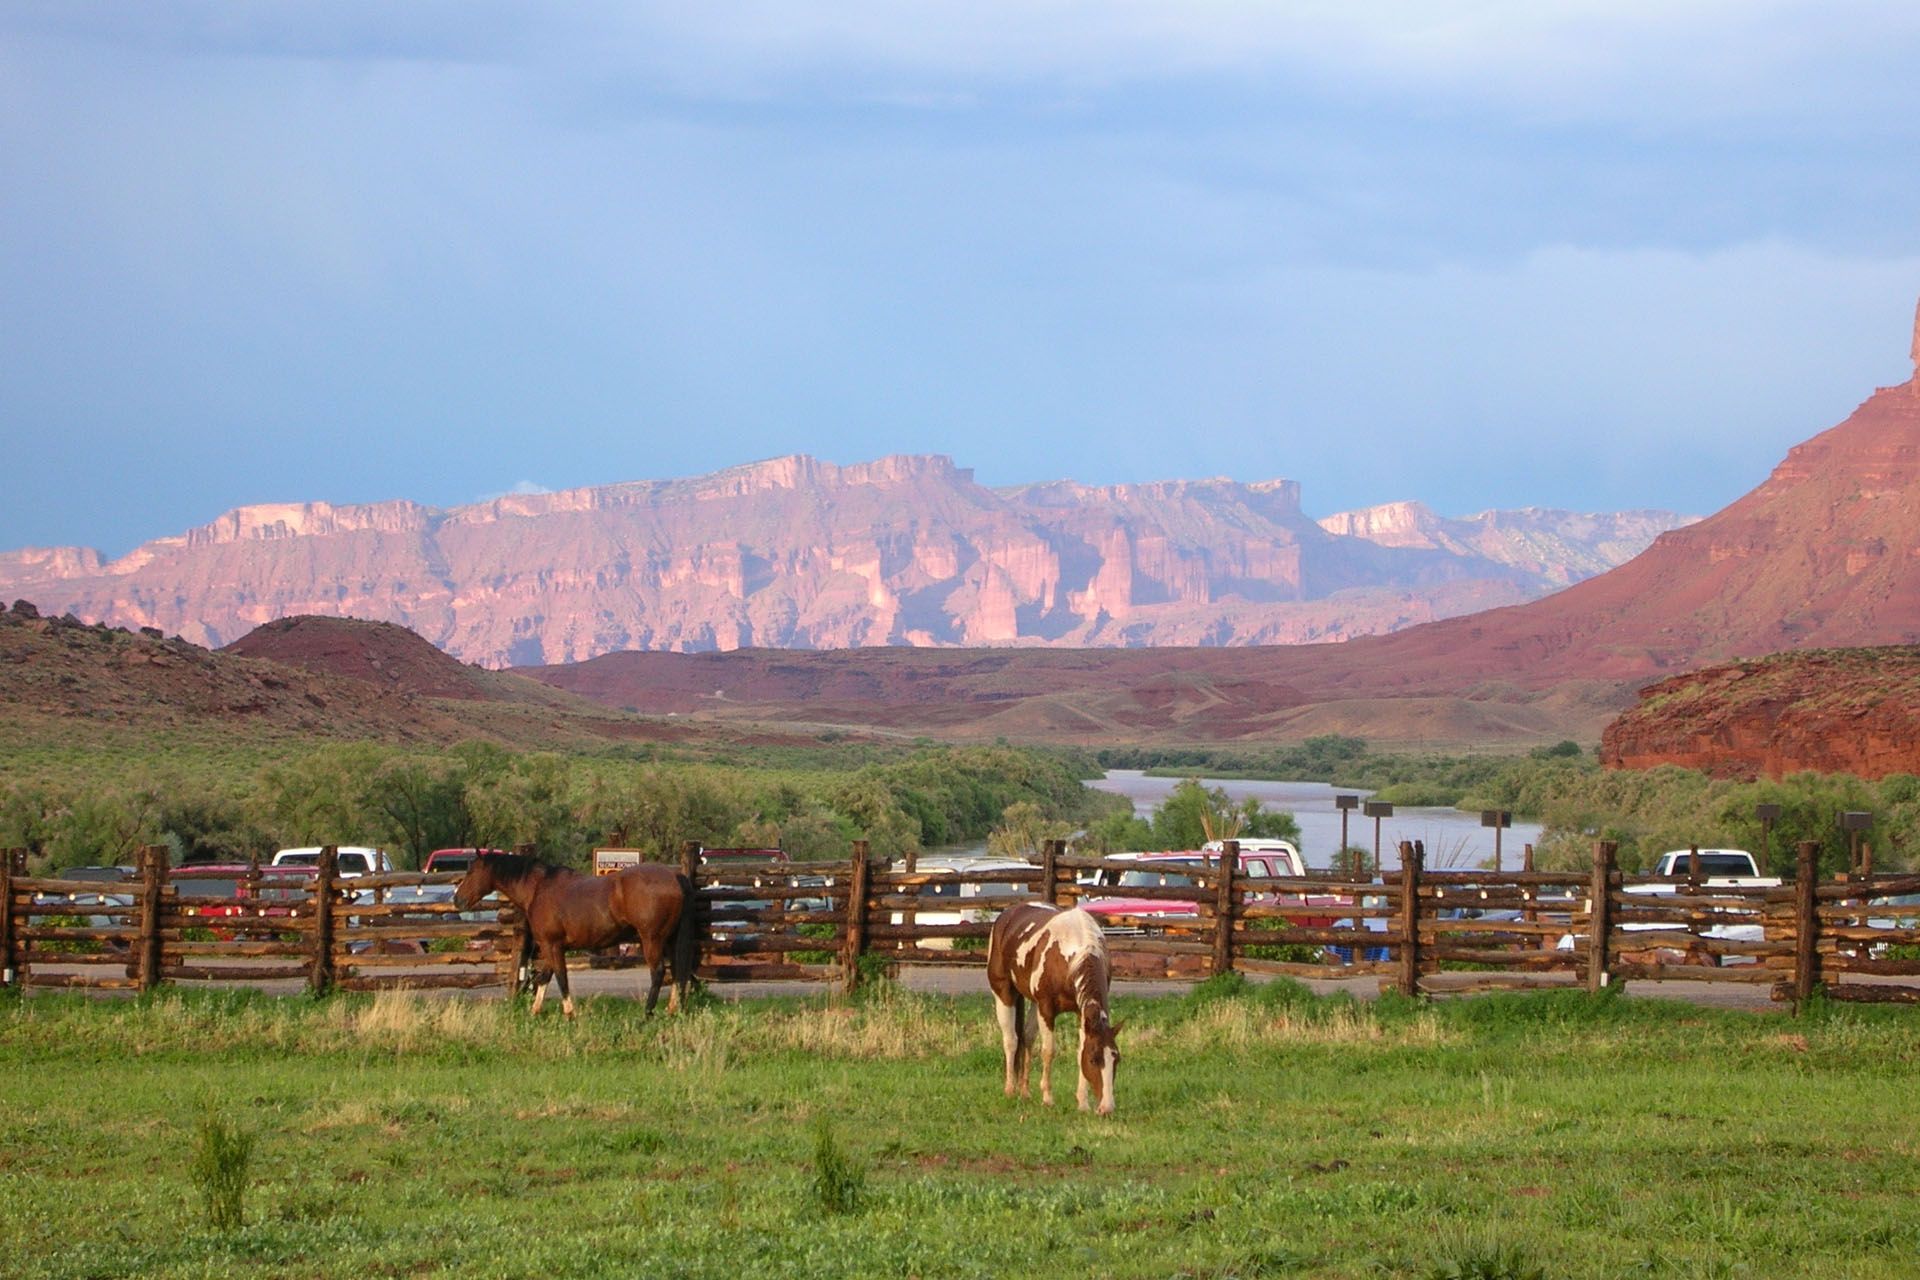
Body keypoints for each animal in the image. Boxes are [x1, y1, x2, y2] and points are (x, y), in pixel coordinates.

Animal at [452, 853, 692, 1018]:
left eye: (471, 872)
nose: (457, 900)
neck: (539, 889)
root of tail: (674, 876)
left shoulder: (552, 945)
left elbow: (561, 977)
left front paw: (570, 1013)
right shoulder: (551, 947)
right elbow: (544, 977)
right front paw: (534, 1011)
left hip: (652, 939)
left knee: (658, 972)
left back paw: (647, 1013)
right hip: (669, 941)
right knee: (677, 971)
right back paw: (672, 1010)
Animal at [986, 903, 1123, 1115]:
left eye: (1116, 1059)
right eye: (1093, 1060)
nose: (1107, 1107)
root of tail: (1007, 914)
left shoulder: (1080, 1013)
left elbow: (1079, 1050)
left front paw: (1082, 1103)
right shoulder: (1046, 1008)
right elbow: (1048, 1051)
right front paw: (1048, 1098)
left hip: (1033, 1003)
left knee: (1027, 1037)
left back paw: (1024, 1092)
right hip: (1003, 993)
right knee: (1011, 1040)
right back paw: (1010, 1090)